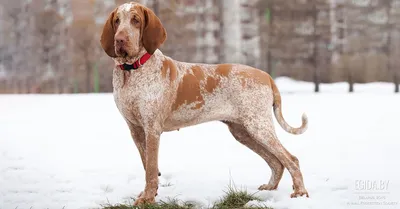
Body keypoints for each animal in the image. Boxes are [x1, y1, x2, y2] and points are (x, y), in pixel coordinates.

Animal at [99, 1, 310, 204]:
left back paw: (300, 192)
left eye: (135, 20)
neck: (132, 71)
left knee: (291, 159)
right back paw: (270, 188)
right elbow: (147, 166)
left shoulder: (152, 129)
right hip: (243, 132)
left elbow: (151, 170)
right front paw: (148, 194)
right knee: (276, 162)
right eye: (117, 21)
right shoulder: (136, 130)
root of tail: (267, 76)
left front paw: (147, 199)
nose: (120, 40)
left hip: (258, 126)